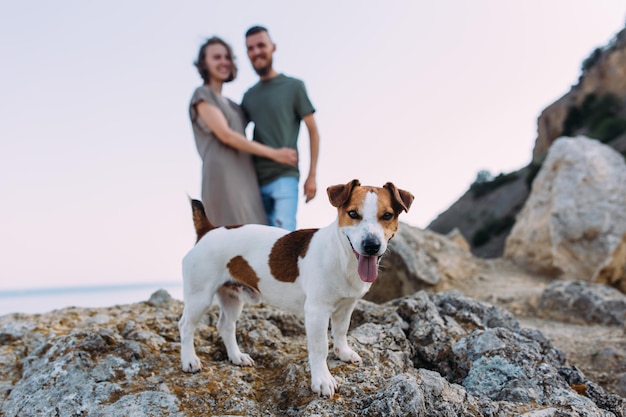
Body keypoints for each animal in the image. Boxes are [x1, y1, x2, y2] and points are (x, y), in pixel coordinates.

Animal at [178, 177, 412, 394]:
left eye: (387, 215)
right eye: (353, 214)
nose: (371, 246)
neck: (341, 255)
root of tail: (208, 230)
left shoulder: (346, 307)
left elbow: (341, 331)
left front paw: (343, 353)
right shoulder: (316, 311)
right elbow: (319, 348)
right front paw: (322, 380)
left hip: (232, 296)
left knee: (226, 326)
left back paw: (236, 357)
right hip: (200, 297)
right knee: (186, 326)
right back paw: (189, 360)